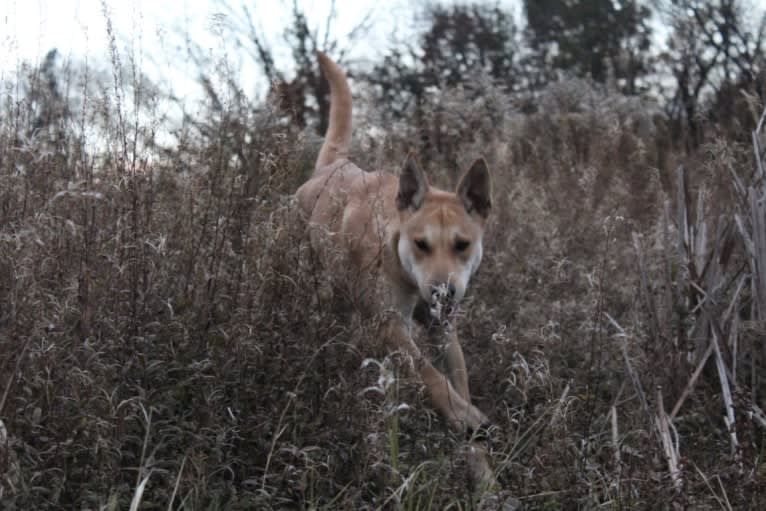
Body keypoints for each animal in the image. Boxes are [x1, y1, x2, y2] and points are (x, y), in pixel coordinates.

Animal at [294, 52, 498, 488]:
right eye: (421, 244)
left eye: (462, 244)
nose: (443, 293)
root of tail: (333, 167)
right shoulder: (390, 325)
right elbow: (429, 375)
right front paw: (464, 416)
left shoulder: (444, 332)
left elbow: (455, 381)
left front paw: (482, 472)